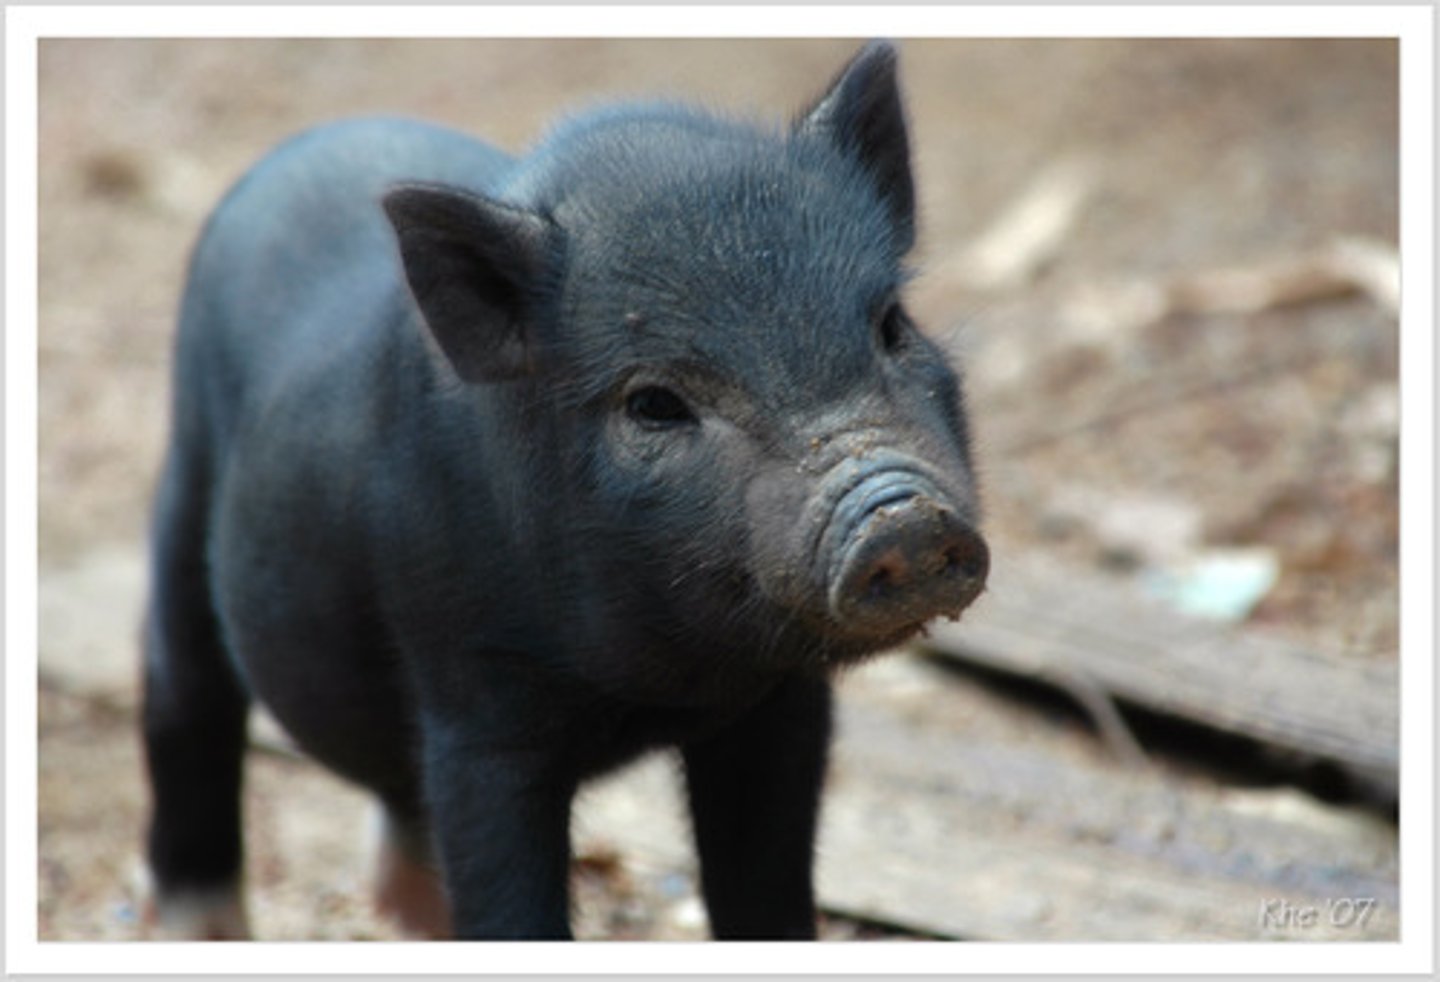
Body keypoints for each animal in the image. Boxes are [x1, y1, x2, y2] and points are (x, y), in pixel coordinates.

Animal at [141, 40, 989, 941]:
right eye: (654, 403)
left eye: (892, 324)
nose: (899, 514)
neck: (663, 683)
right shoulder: (474, 702)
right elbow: (507, 894)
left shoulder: (779, 703)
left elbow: (766, 883)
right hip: (184, 485)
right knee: (183, 695)